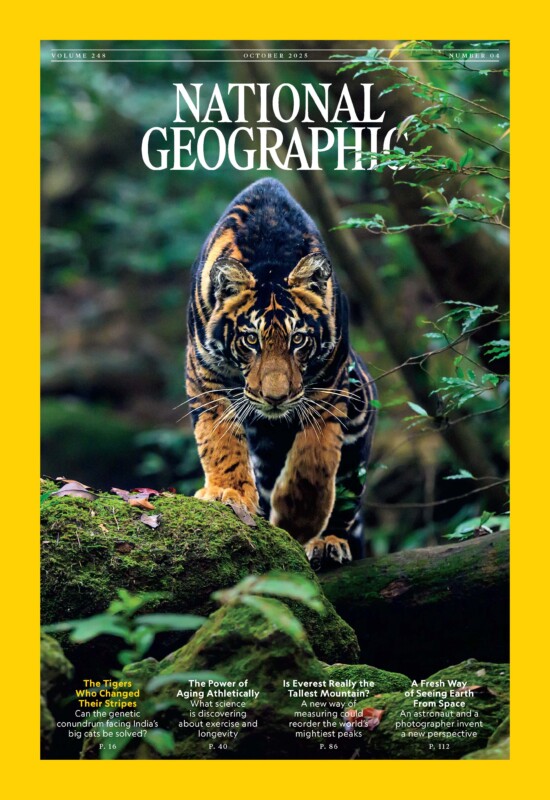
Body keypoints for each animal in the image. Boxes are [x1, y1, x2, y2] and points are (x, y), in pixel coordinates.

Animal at [186, 178, 376, 569]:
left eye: (298, 339)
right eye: (251, 340)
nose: (275, 398)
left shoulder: (330, 384)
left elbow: (315, 458)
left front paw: (299, 519)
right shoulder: (204, 375)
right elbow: (220, 440)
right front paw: (228, 492)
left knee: (346, 495)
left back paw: (328, 542)